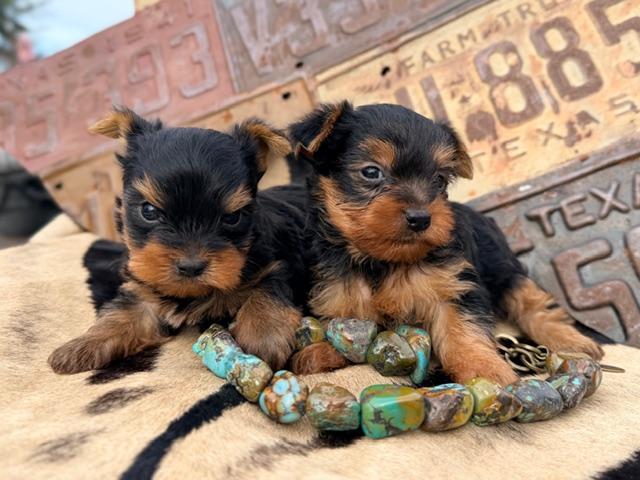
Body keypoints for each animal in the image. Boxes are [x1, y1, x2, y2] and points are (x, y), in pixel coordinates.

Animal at [48, 108, 308, 374]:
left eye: (232, 218)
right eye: (149, 211)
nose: (191, 266)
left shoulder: (276, 264)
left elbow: (268, 288)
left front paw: (263, 335)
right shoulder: (144, 291)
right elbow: (124, 313)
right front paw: (82, 345)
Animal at [288, 102, 603, 385]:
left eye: (439, 180)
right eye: (371, 172)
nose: (420, 218)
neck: (381, 260)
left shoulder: (452, 287)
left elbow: (461, 330)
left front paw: (486, 371)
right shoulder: (340, 299)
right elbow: (345, 335)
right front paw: (317, 354)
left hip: (502, 267)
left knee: (531, 303)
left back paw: (573, 341)